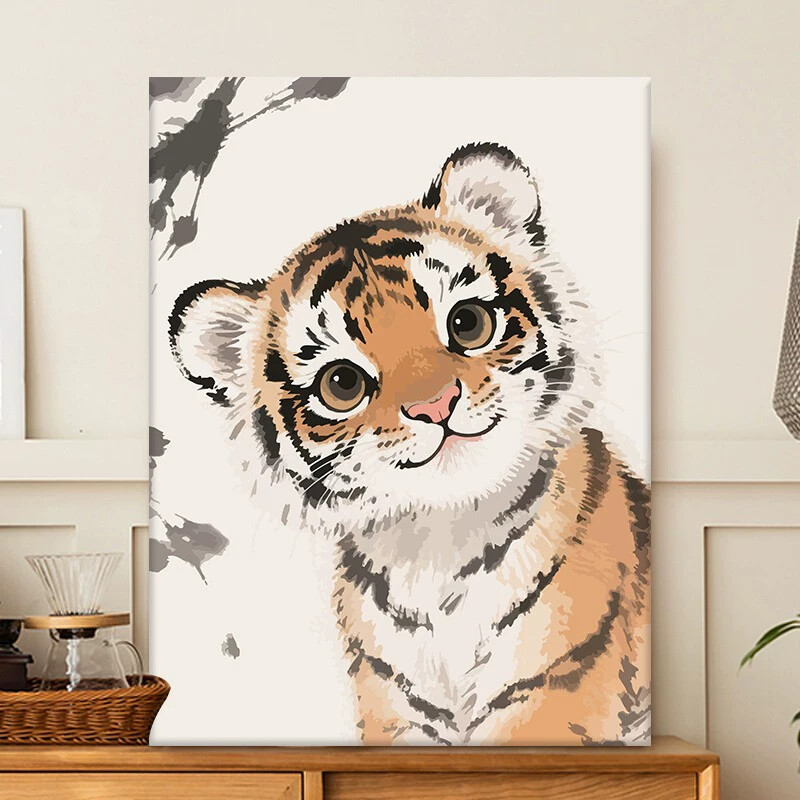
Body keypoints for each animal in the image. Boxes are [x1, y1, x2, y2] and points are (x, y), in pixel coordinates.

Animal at [169, 142, 651, 746]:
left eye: (468, 323)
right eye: (342, 383)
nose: (435, 405)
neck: (442, 549)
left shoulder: (558, 686)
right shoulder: (397, 710)